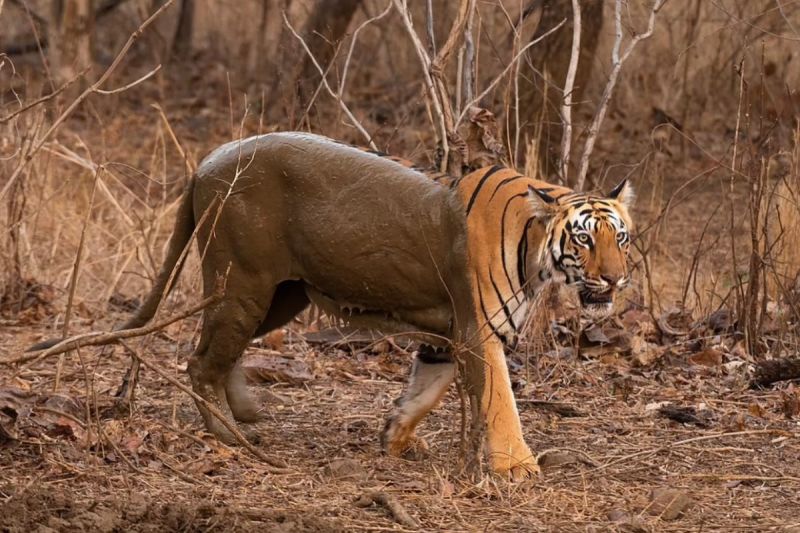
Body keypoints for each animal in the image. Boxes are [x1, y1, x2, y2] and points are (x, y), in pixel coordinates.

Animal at [29, 132, 632, 478]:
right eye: (584, 239)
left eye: (620, 238)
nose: (616, 279)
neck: (539, 256)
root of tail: (205, 162)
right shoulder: (478, 331)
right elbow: (500, 403)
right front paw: (519, 469)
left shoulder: (447, 335)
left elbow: (425, 391)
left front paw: (394, 436)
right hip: (242, 284)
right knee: (199, 361)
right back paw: (230, 436)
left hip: (278, 297)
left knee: (220, 354)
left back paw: (246, 413)